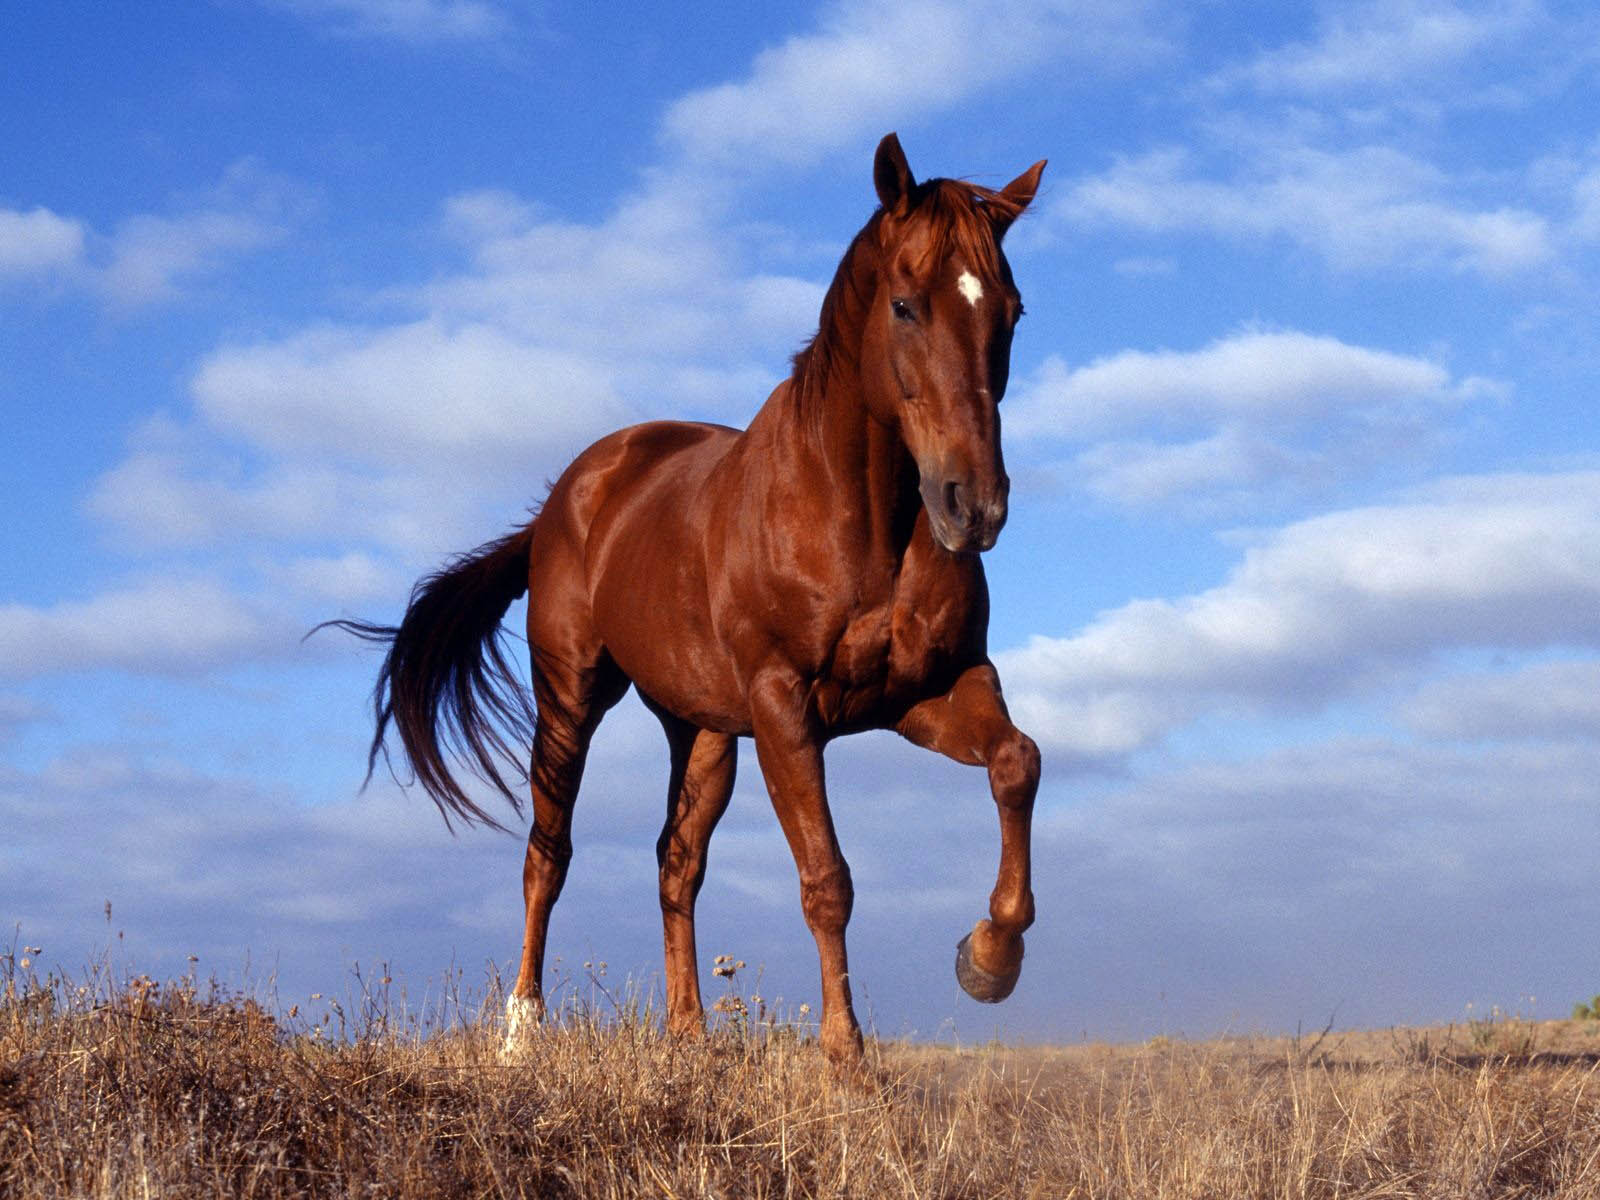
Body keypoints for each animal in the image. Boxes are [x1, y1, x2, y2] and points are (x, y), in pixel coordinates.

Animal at [326, 136, 1049, 1068]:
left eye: (1012, 311)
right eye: (904, 305)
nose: (974, 505)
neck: (858, 520)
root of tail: (565, 499)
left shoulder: (929, 692)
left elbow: (1017, 762)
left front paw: (988, 960)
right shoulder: (785, 708)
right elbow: (827, 878)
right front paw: (846, 1059)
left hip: (700, 730)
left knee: (676, 862)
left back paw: (688, 1035)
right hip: (571, 698)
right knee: (547, 856)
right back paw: (522, 1031)